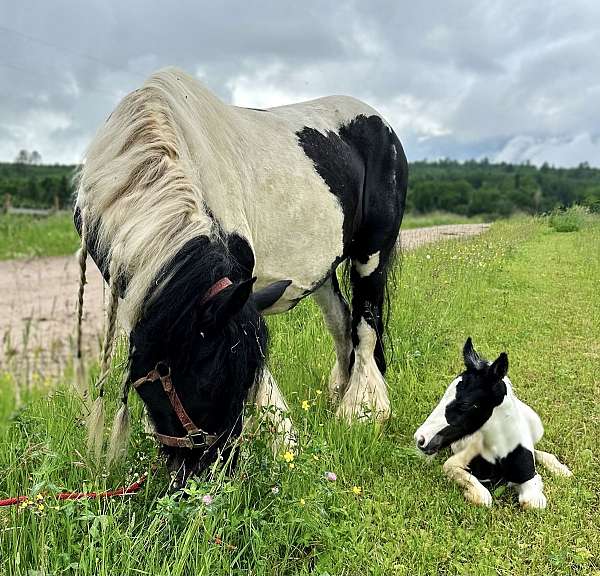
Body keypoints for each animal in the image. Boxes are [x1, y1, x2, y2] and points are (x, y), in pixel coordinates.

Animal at [72, 67, 406, 484]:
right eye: (208, 378)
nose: (208, 468)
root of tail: (382, 125)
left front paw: (283, 444)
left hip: (371, 253)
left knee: (365, 323)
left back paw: (362, 411)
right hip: (324, 270)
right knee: (341, 320)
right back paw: (339, 394)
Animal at [412, 338, 572, 508]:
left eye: (465, 404)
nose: (421, 439)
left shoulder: (529, 480)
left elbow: (533, 501)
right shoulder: (453, 464)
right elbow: (483, 497)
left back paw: (562, 470)